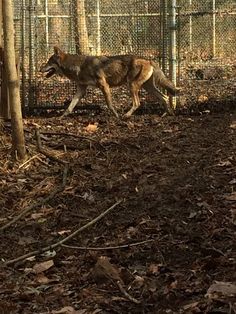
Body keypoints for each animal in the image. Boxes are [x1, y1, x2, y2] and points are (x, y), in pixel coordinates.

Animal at [41, 47, 181, 119]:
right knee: (164, 97)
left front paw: (117, 116)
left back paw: (126, 116)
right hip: (147, 88)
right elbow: (69, 107)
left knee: (137, 103)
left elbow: (109, 105)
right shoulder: (81, 90)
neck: (79, 66)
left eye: (49, 62)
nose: (40, 69)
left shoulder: (104, 86)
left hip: (132, 86)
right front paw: (61, 117)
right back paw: (167, 114)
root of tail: (149, 60)